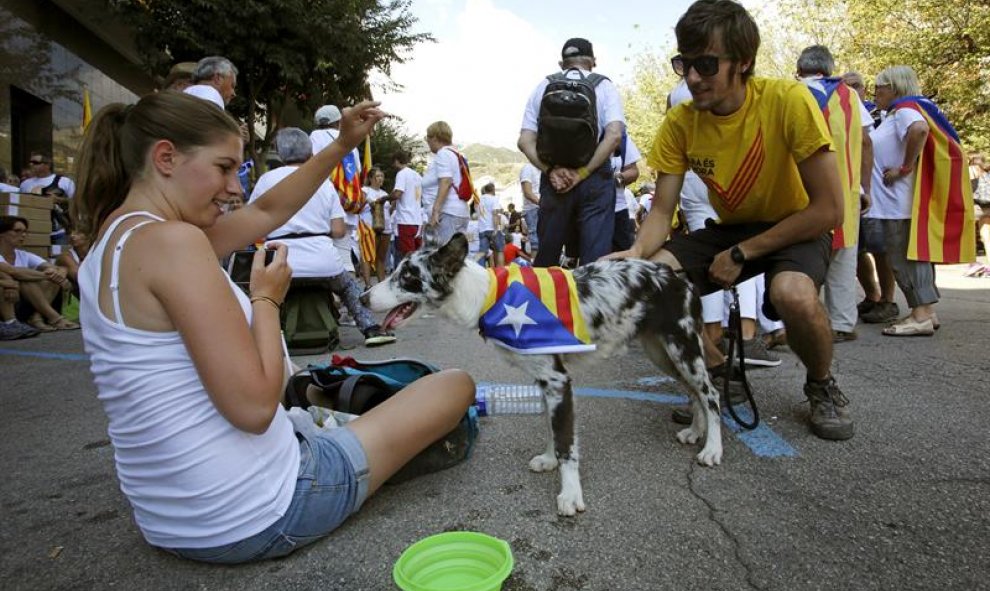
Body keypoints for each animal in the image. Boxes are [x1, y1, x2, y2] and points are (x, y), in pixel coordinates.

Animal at [360, 234, 724, 516]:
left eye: (407, 276)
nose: (362, 297)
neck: (488, 296)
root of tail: (675, 275)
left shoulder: (559, 382)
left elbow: (566, 444)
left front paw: (570, 493)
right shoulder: (545, 382)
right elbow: (550, 429)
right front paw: (549, 460)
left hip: (683, 349)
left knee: (711, 394)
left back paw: (712, 448)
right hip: (662, 354)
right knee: (693, 393)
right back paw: (696, 431)